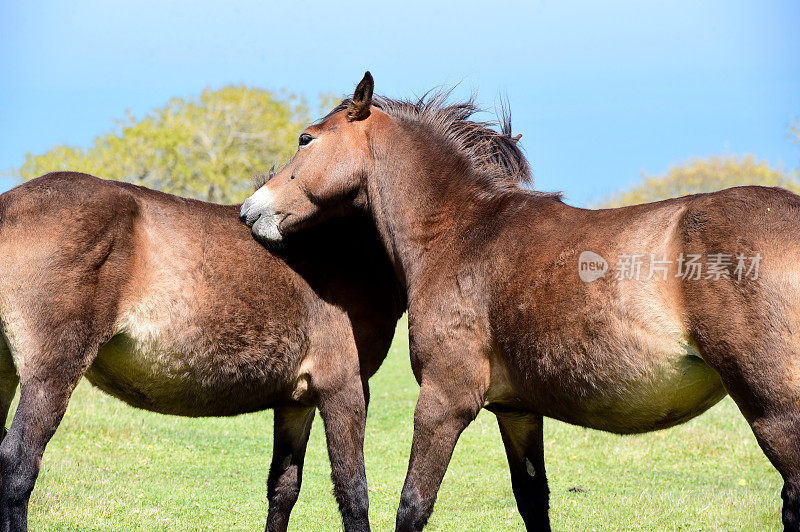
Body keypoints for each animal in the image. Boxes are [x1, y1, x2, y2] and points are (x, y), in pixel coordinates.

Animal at [241, 71, 800, 532]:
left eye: (306, 139)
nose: (250, 211)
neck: (461, 233)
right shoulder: (518, 412)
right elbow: (533, 501)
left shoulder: (445, 401)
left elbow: (413, 506)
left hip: (774, 411)